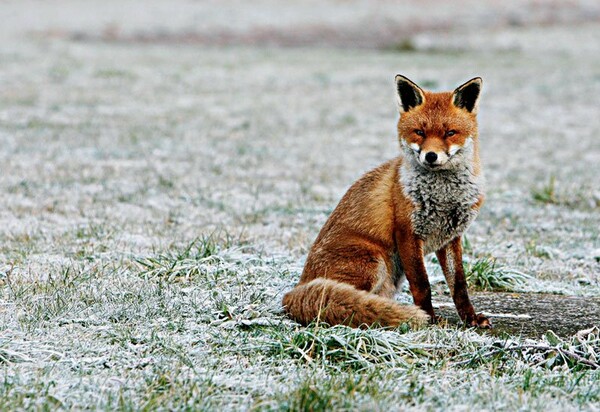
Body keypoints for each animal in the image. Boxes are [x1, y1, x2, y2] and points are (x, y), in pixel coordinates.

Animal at [282, 75, 492, 328]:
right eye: (419, 132)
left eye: (450, 133)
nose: (431, 156)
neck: (444, 197)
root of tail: (294, 290)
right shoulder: (407, 233)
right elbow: (422, 285)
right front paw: (429, 319)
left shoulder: (450, 238)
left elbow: (459, 285)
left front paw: (471, 318)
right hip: (374, 262)